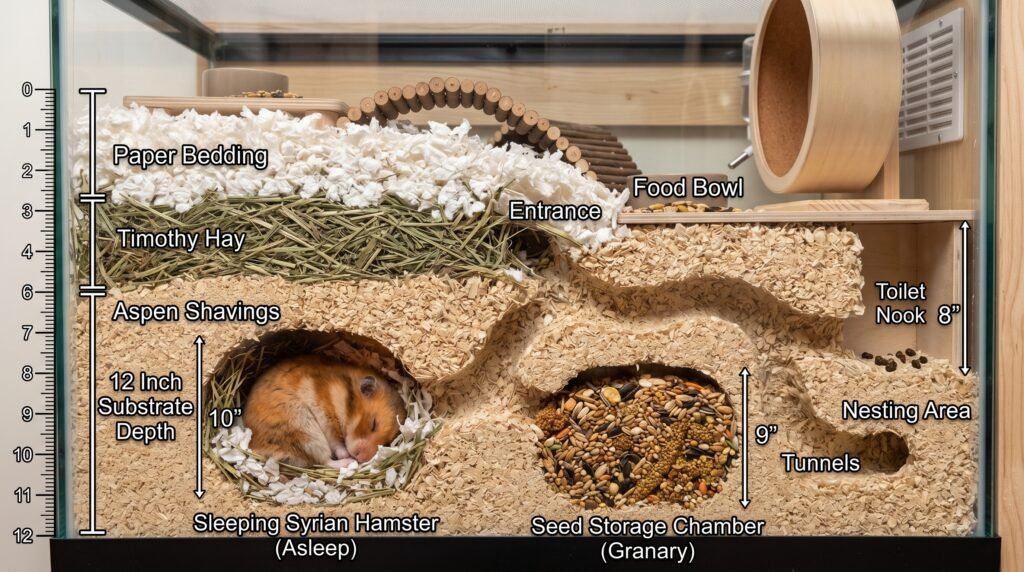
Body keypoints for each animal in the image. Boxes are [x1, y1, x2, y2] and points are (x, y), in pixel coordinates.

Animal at [243, 354, 406, 469]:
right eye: (373, 424)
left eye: (387, 442)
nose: (361, 458)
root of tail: (256, 446)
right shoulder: (325, 415)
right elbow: (336, 441)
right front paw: (346, 453)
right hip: (306, 432)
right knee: (324, 461)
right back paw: (349, 461)